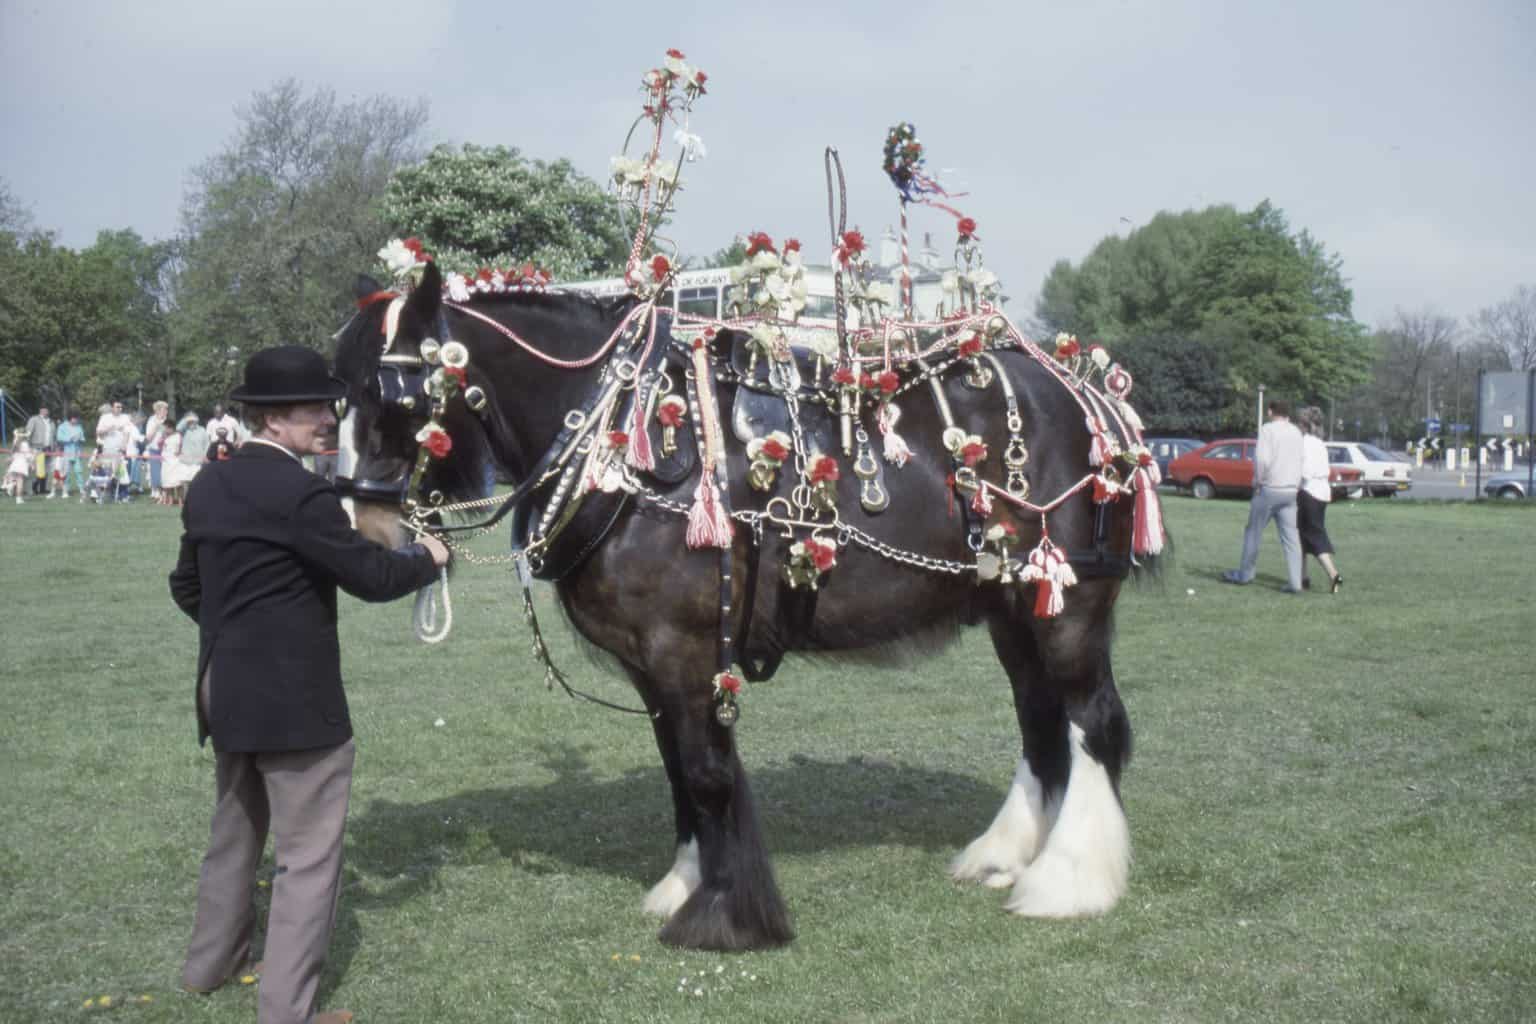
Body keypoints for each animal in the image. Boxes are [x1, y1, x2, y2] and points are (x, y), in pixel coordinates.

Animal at [330, 257, 1155, 951]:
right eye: (335, 397)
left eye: (391, 396)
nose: (362, 527)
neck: (623, 441)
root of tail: (1086, 395)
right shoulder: (653, 667)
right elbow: (678, 769)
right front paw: (686, 883)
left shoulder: (685, 648)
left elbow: (707, 773)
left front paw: (728, 915)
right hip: (1017, 611)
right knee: (1041, 723)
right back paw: (1005, 856)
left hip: (1068, 607)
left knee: (1093, 722)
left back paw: (1067, 880)